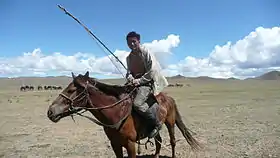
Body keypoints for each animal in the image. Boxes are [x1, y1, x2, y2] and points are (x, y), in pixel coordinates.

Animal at [47, 72, 200, 158]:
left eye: (70, 90)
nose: (50, 111)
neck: (116, 113)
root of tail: (169, 98)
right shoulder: (115, 144)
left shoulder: (130, 144)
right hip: (156, 128)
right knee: (158, 141)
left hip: (170, 123)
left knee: (173, 142)